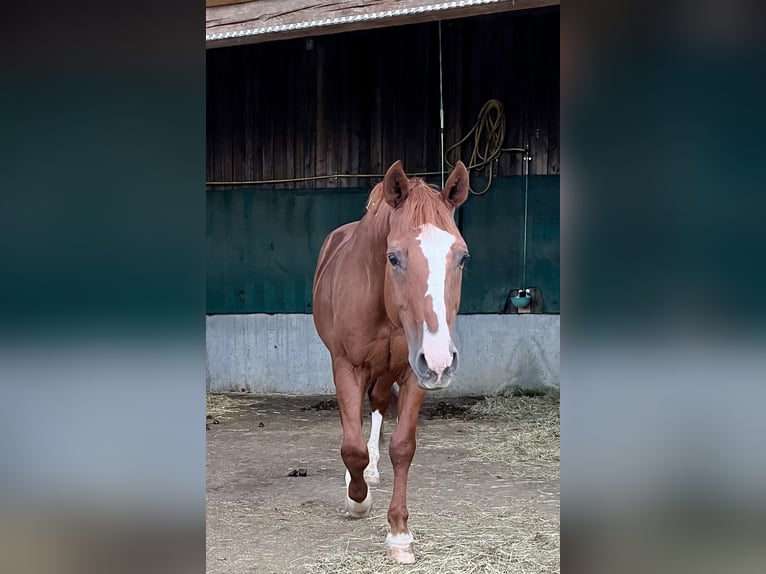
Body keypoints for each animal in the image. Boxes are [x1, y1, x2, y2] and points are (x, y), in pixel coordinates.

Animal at [312, 160, 470, 564]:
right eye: (394, 256)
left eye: (462, 257)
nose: (442, 359)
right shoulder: (347, 367)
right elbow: (350, 447)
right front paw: (357, 500)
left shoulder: (415, 372)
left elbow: (402, 447)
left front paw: (399, 532)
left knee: (380, 404)